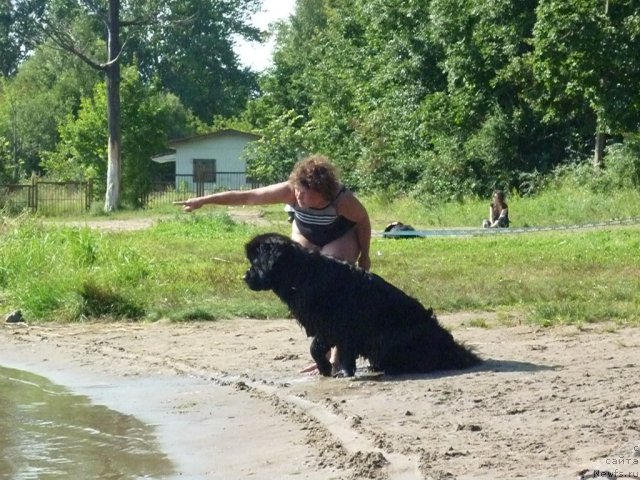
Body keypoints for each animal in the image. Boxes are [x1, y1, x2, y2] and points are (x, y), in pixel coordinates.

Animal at [245, 232, 480, 376]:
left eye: (255, 262)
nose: (244, 276)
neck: (301, 275)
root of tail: (449, 345)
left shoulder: (335, 325)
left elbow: (319, 348)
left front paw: (330, 370)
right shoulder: (336, 329)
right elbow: (334, 350)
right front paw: (337, 371)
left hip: (393, 338)